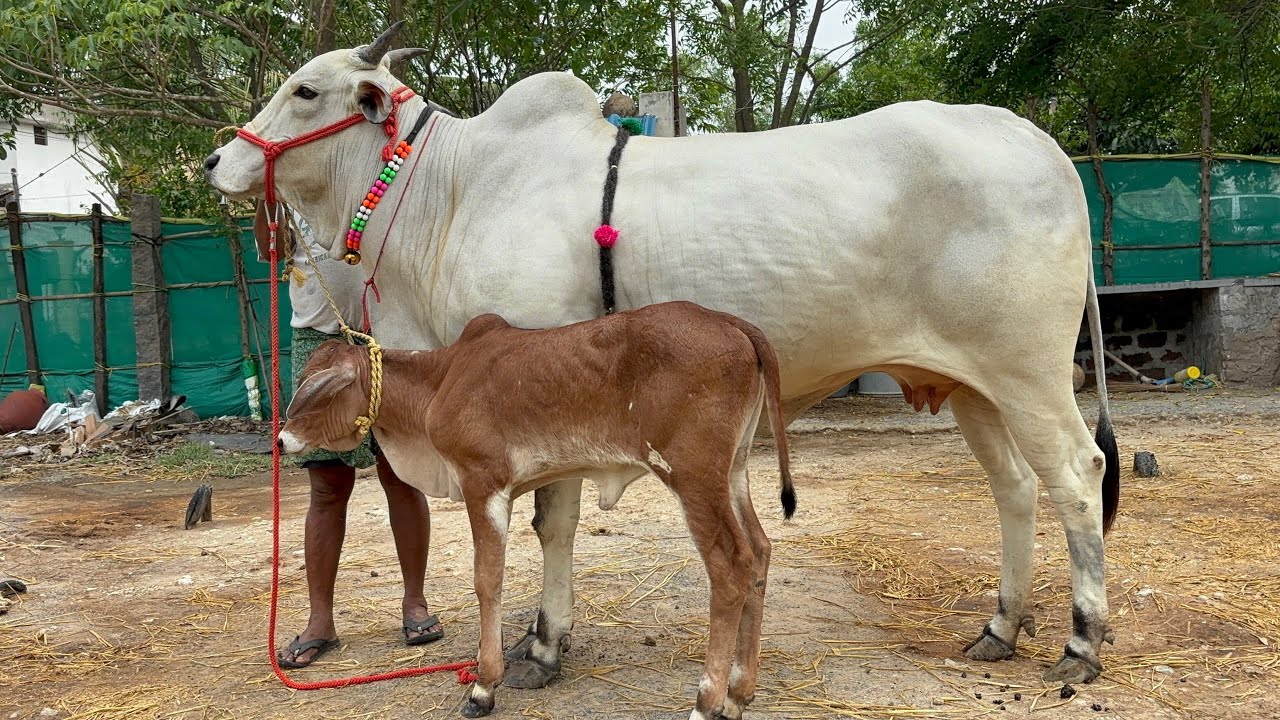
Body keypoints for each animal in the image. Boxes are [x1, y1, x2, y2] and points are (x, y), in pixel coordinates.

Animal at [278, 302, 797, 719]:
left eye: (313, 388)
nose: (282, 441)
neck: (440, 380)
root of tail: (731, 323)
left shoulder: (483, 483)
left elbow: (488, 580)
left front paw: (483, 686)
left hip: (693, 478)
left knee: (731, 568)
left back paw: (707, 702)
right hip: (733, 473)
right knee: (760, 552)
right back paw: (738, 694)